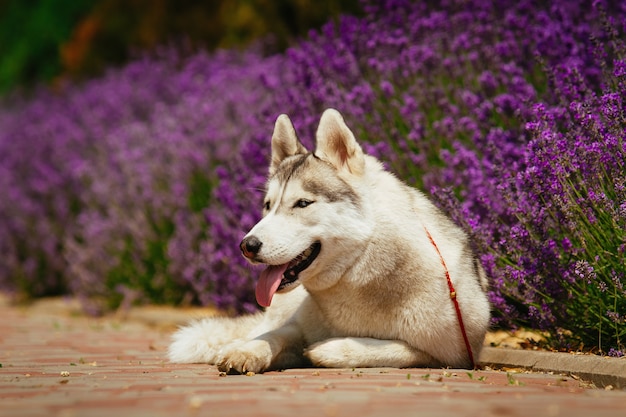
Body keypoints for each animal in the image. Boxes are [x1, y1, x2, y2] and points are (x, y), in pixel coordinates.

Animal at [168, 109, 490, 372]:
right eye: (267, 206)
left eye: (302, 203)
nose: (247, 246)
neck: (360, 272)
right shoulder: (296, 326)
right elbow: (272, 336)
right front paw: (247, 351)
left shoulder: (454, 355)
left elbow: (391, 349)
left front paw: (330, 350)